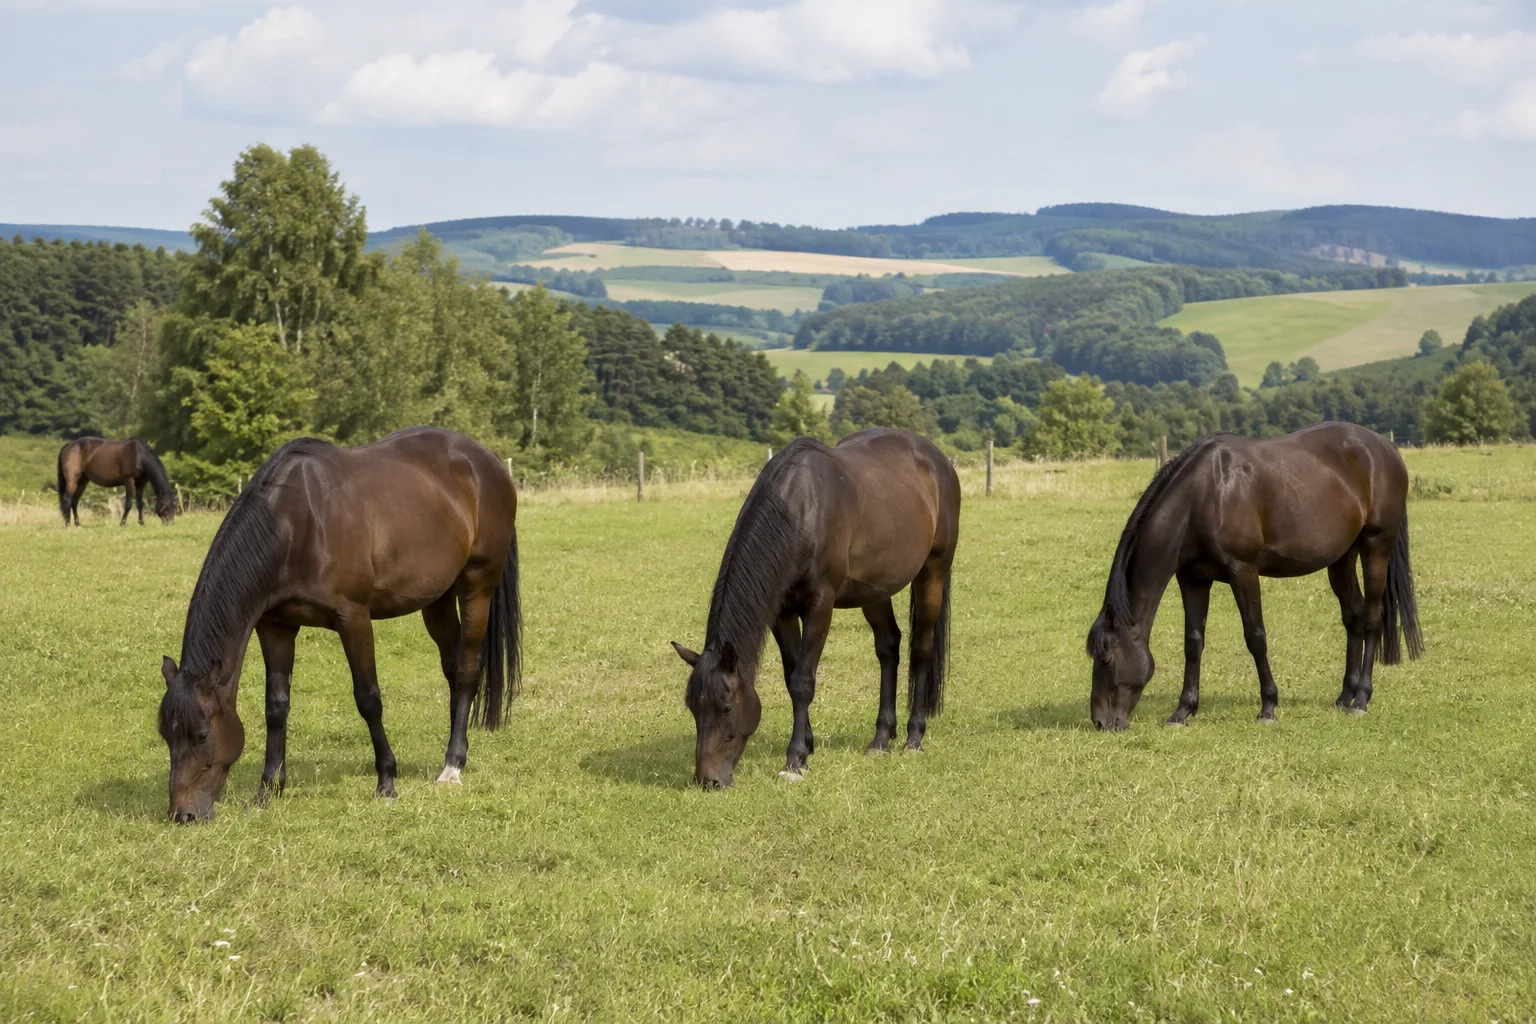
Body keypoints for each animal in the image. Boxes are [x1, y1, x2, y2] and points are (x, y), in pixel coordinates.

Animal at [156, 427, 521, 823]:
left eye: (202, 735)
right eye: (166, 735)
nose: (183, 815)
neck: (296, 524)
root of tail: (487, 461)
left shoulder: (354, 618)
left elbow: (368, 699)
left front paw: (387, 783)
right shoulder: (275, 626)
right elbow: (276, 707)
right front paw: (268, 790)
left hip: (477, 586)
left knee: (468, 671)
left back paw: (453, 766)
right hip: (436, 600)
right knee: (453, 669)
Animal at [671, 428, 961, 788]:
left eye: (726, 707)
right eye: (692, 708)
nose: (707, 780)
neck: (799, 511)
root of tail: (937, 459)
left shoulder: (820, 604)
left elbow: (802, 681)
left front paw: (795, 759)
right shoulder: (781, 611)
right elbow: (790, 674)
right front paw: (807, 745)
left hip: (932, 572)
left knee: (921, 648)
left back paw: (913, 738)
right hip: (875, 588)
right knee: (888, 647)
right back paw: (881, 739)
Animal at [1086, 422, 1423, 731]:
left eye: (1106, 659)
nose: (1101, 722)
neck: (1204, 496)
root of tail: (1386, 447)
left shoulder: (1244, 571)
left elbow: (1256, 637)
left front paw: (1268, 707)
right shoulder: (1193, 579)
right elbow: (1193, 642)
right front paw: (1182, 711)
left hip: (1376, 549)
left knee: (1372, 619)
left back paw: (1361, 700)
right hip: (1342, 559)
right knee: (1353, 617)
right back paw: (1344, 697)